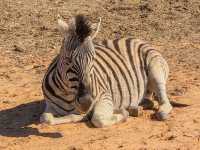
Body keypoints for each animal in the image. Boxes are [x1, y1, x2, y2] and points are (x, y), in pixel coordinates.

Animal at [39, 14, 182, 127]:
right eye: (68, 59)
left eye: (93, 58)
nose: (86, 102)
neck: (68, 94)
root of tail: (135, 38)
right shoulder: (49, 106)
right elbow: (45, 118)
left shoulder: (105, 96)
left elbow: (98, 119)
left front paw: (122, 113)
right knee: (149, 101)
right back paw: (135, 108)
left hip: (155, 69)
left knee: (164, 102)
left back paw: (157, 112)